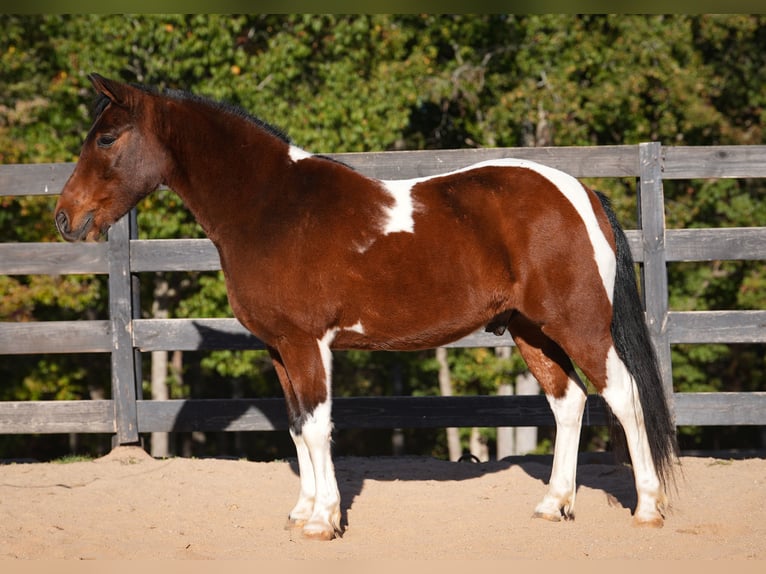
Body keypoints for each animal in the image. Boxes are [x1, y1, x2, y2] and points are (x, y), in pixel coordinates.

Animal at [55, 73, 678, 540]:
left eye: (106, 139)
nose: (65, 218)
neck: (271, 207)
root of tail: (581, 193)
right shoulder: (280, 349)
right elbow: (297, 426)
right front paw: (303, 512)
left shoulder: (308, 343)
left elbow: (318, 427)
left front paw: (324, 521)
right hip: (533, 331)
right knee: (569, 402)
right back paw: (554, 504)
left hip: (579, 326)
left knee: (623, 396)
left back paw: (647, 509)